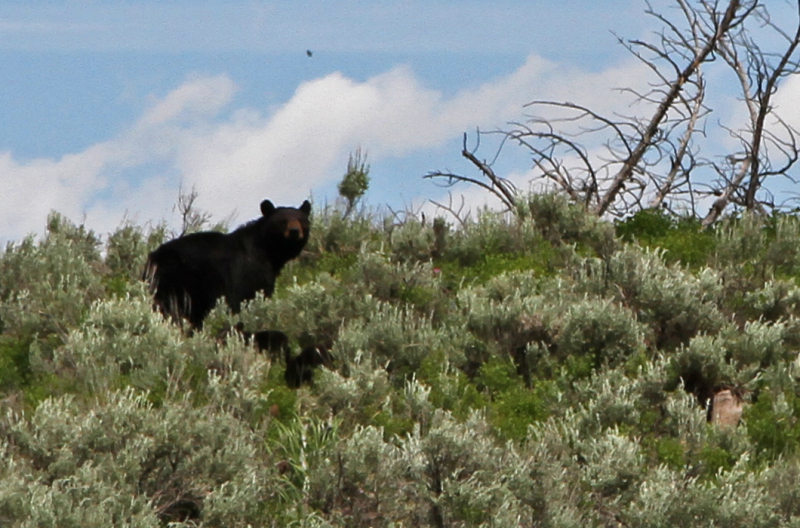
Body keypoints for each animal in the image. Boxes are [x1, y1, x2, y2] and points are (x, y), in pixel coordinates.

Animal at [145, 200, 310, 328]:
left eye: (301, 219)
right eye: (282, 221)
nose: (294, 231)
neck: (267, 250)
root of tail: (153, 257)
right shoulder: (247, 271)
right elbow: (242, 298)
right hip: (173, 282)